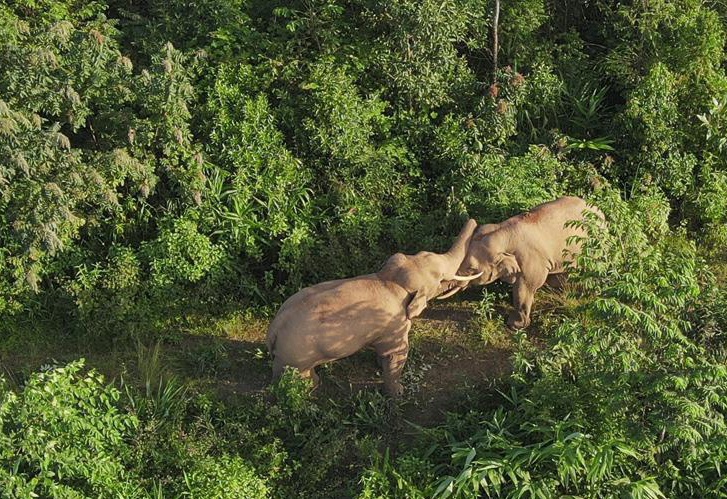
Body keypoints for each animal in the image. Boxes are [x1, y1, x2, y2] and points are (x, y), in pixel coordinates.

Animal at [268, 221, 484, 396]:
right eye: (440, 278)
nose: (475, 221)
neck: (390, 279)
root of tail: (273, 331)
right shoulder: (396, 325)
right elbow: (398, 353)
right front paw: (398, 393)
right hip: (297, 355)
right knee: (300, 376)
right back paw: (312, 388)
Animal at [446, 197, 604, 330]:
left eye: (471, 268)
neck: (503, 233)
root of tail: (601, 212)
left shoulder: (533, 261)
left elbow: (525, 287)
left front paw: (514, 325)